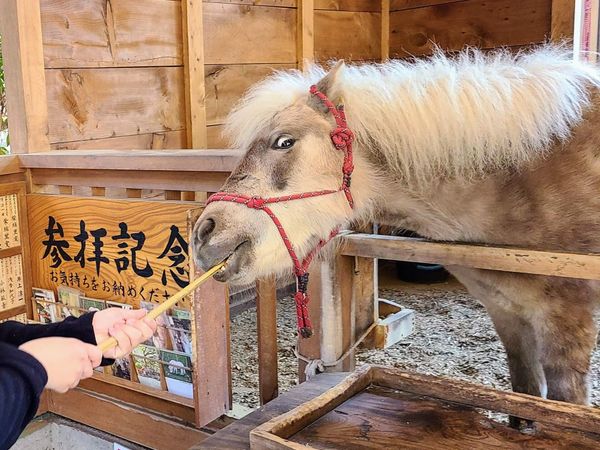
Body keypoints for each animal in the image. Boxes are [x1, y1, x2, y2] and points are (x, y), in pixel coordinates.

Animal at [192, 46, 600, 412]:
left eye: (284, 141)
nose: (204, 232)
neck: (517, 177)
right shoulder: (508, 315)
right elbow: (525, 397)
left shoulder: (566, 319)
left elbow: (563, 406)